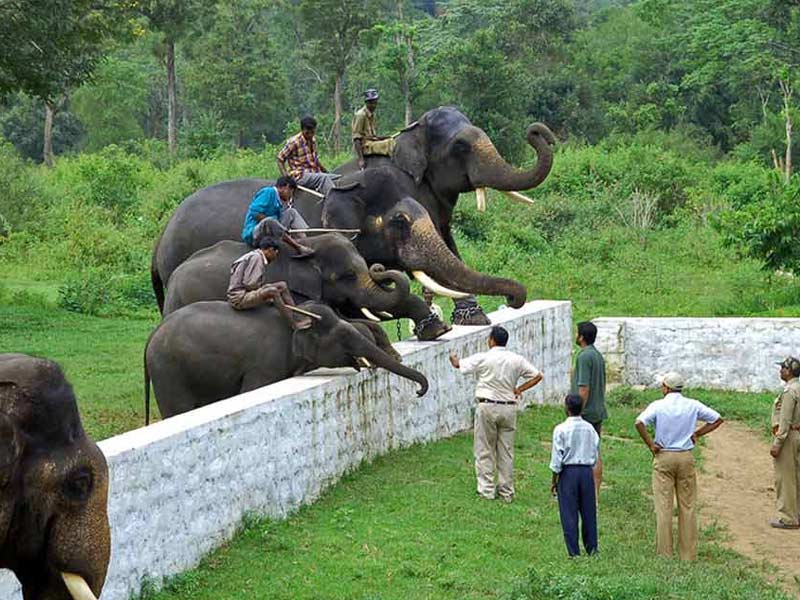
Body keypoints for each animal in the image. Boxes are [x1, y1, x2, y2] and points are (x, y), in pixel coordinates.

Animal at [146, 300, 428, 422]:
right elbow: (252, 389)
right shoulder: (264, 364)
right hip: (168, 371)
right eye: (344, 337)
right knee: (178, 409)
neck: (298, 317)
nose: (418, 391)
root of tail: (150, 339)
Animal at [148, 106, 552, 326]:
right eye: (461, 147)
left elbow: (446, 245)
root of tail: (160, 238)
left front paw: (474, 319)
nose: (536, 130)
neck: (403, 139)